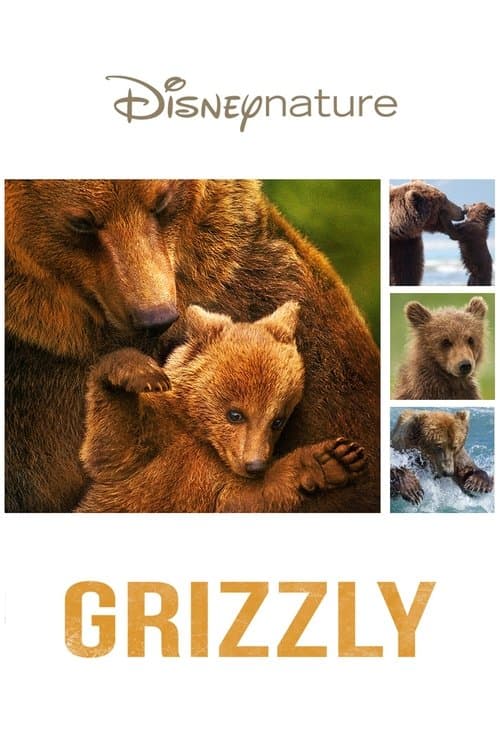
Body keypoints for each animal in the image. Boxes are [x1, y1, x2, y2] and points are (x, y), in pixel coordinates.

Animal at [76, 302, 367, 512]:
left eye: (277, 420)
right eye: (235, 414)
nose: (255, 465)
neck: (201, 438)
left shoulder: (217, 482)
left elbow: (247, 498)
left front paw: (333, 459)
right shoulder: (152, 444)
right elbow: (111, 442)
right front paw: (141, 373)